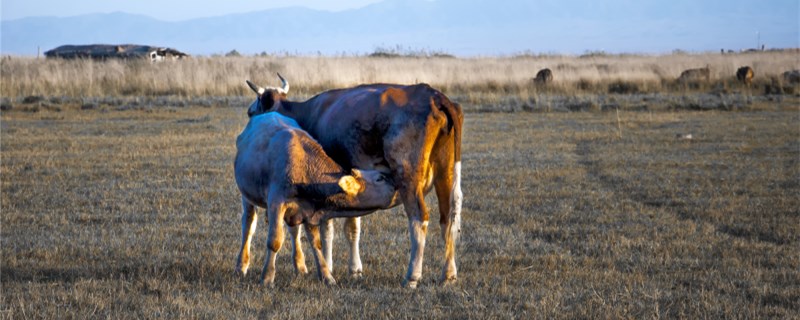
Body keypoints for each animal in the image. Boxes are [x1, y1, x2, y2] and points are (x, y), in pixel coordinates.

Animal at [233, 112, 396, 284]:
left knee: (294, 231)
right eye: (380, 178)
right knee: (248, 225)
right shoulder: (276, 203)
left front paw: (326, 275)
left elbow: (316, 242)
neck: (303, 167)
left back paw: (300, 266)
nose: (396, 183)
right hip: (247, 196)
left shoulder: (308, 209)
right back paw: (241, 266)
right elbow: (275, 241)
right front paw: (267, 277)